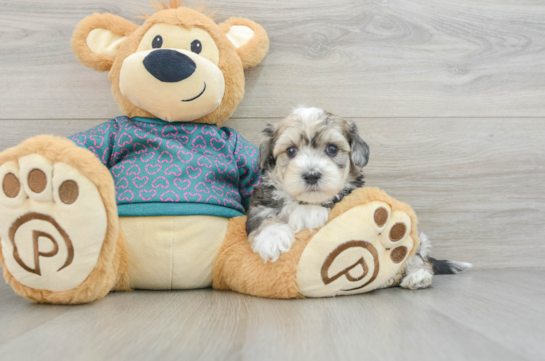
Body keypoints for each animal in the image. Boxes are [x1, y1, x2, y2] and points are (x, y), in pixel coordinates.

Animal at [246, 107, 370, 262]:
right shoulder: (261, 200)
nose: (311, 175)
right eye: (291, 150)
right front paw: (272, 236)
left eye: (332, 149)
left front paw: (308, 212)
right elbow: (259, 216)